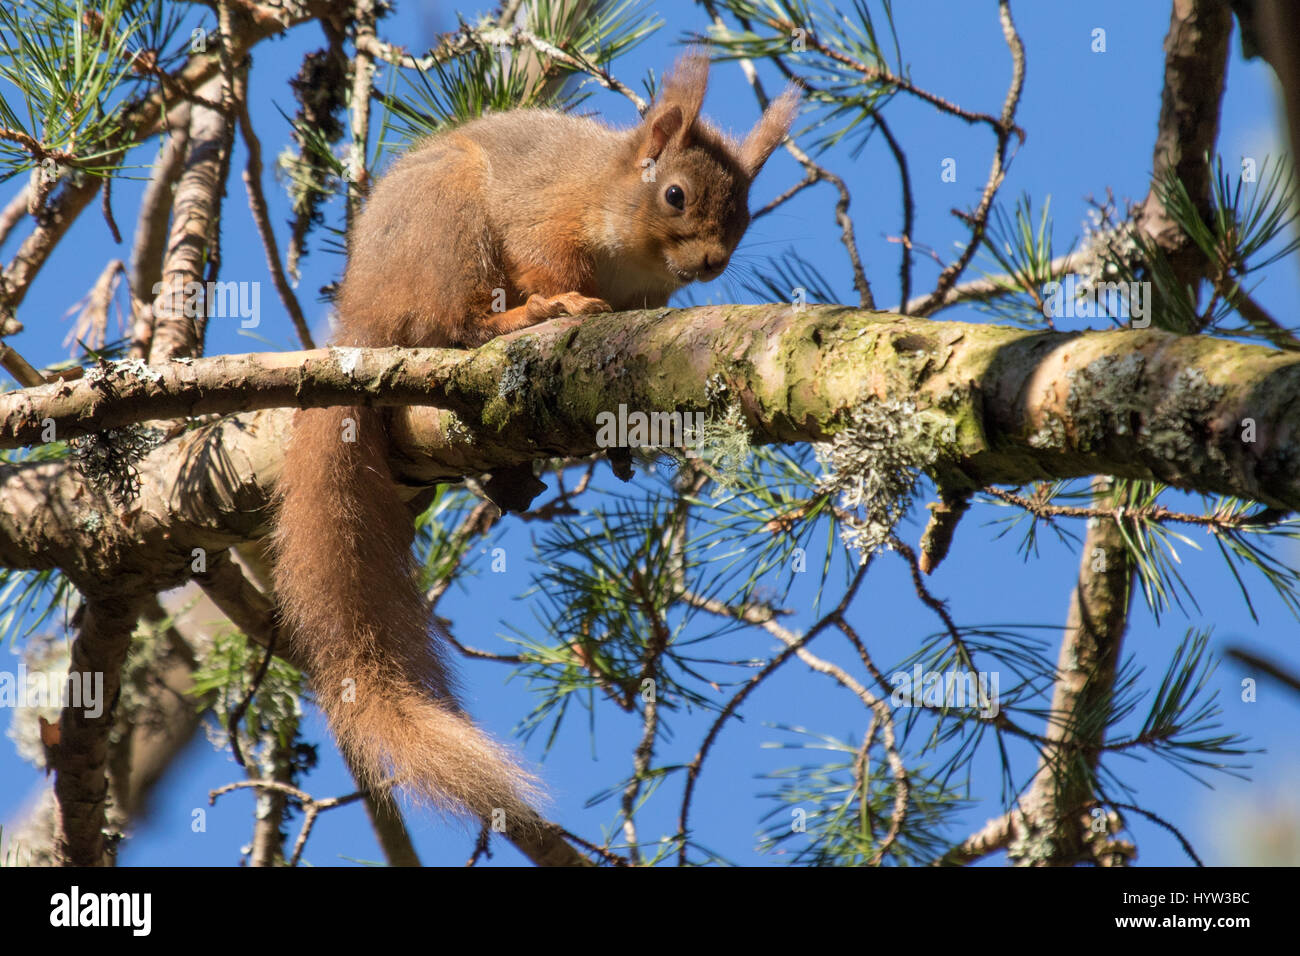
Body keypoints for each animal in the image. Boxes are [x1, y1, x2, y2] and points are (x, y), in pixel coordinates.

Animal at [271, 53, 798, 825]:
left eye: (747, 211)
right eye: (675, 195)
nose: (711, 263)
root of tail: (360, 314)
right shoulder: (546, 215)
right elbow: (542, 259)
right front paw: (566, 300)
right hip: (448, 226)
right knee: (451, 323)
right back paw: (516, 319)